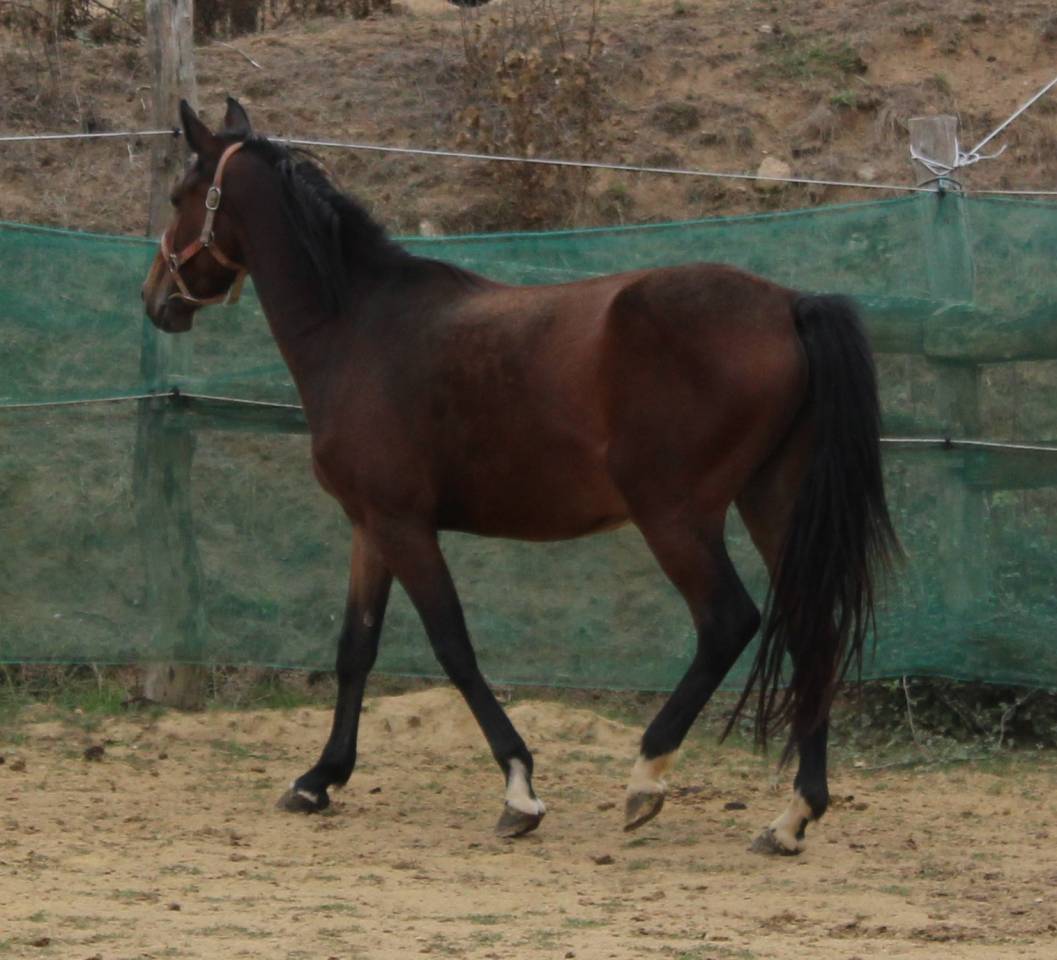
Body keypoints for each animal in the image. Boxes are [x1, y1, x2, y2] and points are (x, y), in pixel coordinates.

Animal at [142, 98, 898, 854]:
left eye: (180, 196)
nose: (154, 299)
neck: (357, 327)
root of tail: (790, 305)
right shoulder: (369, 525)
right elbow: (355, 647)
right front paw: (318, 779)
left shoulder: (403, 526)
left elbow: (453, 647)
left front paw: (519, 789)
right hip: (774, 506)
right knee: (813, 633)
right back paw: (793, 815)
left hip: (676, 517)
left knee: (728, 622)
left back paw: (647, 779)